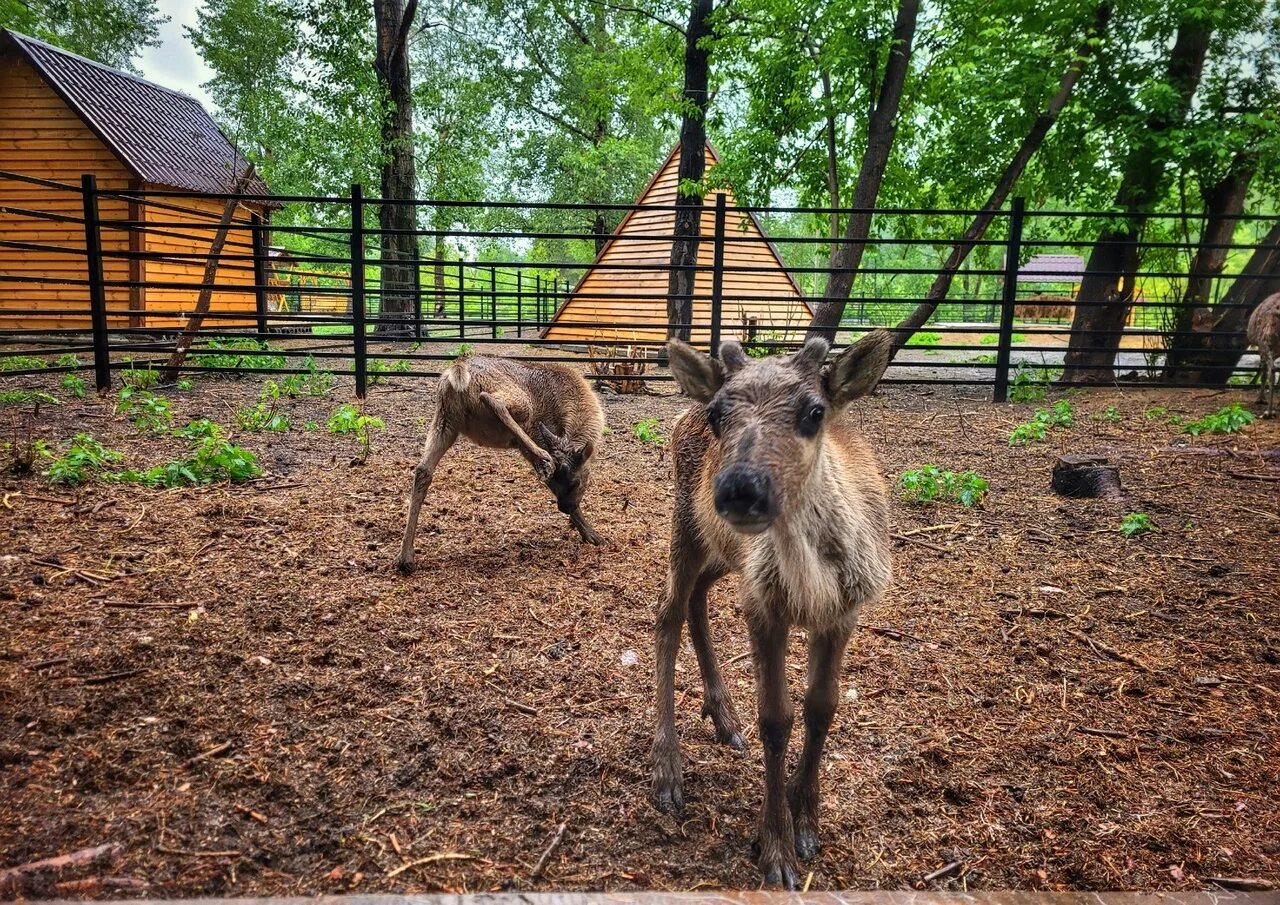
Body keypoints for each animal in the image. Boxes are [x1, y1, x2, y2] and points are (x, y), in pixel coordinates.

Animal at [394, 355, 604, 573]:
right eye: (578, 482)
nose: (565, 507)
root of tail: (458, 369)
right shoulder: (536, 432)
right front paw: (593, 535)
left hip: (445, 421)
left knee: (423, 470)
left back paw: (405, 556)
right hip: (515, 402)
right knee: (492, 400)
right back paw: (543, 457)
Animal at [650, 330, 890, 890]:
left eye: (815, 411)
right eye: (719, 414)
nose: (740, 488)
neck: (810, 584)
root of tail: (681, 414)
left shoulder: (842, 613)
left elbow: (822, 706)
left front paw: (807, 819)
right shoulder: (765, 609)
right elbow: (777, 718)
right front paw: (776, 847)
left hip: (725, 553)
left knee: (696, 599)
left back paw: (723, 716)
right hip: (686, 527)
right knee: (667, 614)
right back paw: (668, 767)